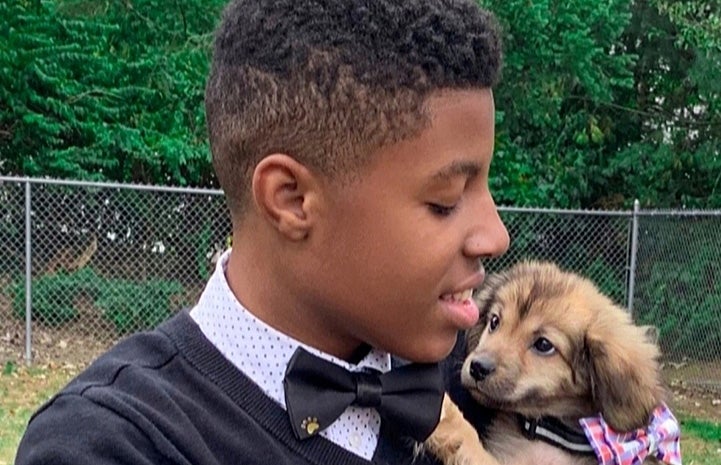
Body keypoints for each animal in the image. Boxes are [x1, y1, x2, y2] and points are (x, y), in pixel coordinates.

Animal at [424, 260, 668, 464]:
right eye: (494, 322)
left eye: (543, 344)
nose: (477, 367)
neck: (549, 429)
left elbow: (469, 439)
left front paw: (445, 411)